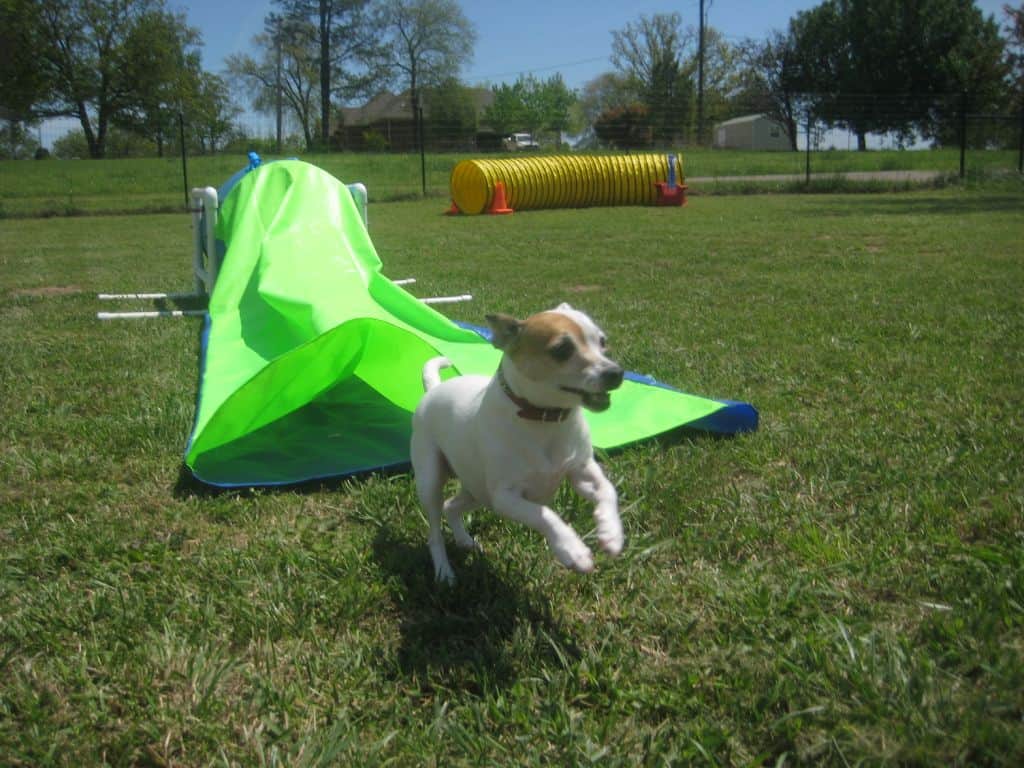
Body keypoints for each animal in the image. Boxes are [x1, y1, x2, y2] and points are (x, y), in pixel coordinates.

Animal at [410, 303, 625, 584]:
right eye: (562, 350)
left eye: (602, 342)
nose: (616, 373)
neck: (545, 419)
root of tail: (434, 389)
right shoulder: (506, 497)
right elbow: (545, 516)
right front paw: (572, 549)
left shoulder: (582, 471)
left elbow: (607, 490)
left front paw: (611, 532)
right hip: (432, 482)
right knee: (435, 530)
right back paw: (444, 571)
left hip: (478, 492)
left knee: (451, 506)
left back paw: (464, 539)